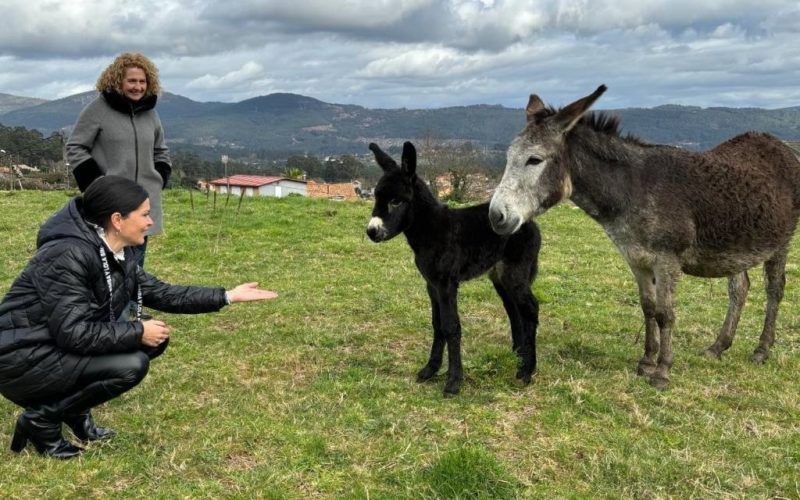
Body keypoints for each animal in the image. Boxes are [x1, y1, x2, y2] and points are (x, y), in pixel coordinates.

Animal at [366, 143, 540, 396]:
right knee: (514, 310)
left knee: (530, 309)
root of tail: (530, 222)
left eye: (396, 201)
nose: (371, 231)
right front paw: (430, 370)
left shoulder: (447, 283)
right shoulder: (431, 284)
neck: (430, 230)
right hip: (499, 276)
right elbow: (437, 324)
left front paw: (454, 381)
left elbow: (451, 327)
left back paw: (527, 371)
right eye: (376, 197)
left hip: (515, 272)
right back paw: (518, 357)